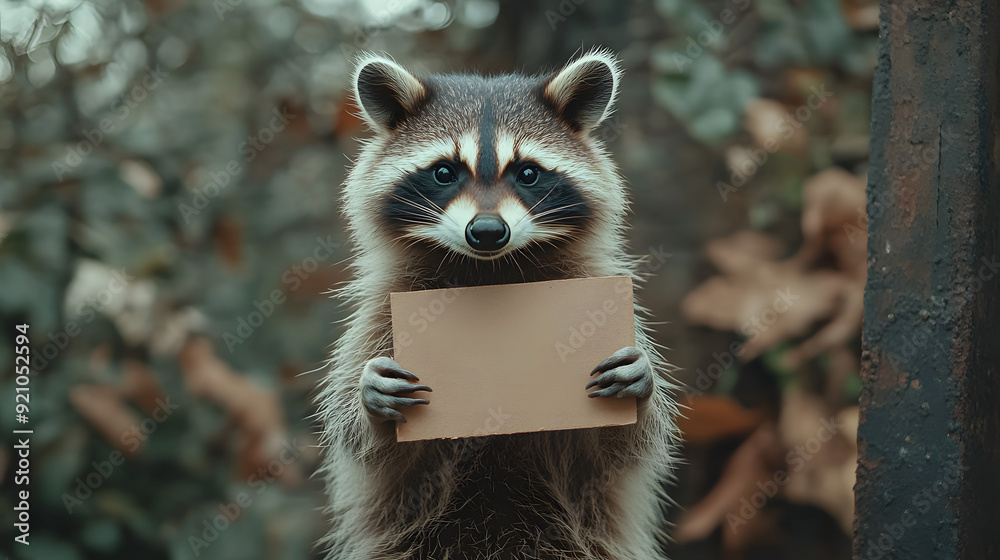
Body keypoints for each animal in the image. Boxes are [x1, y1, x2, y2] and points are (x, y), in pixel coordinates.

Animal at [318, 50, 680, 560]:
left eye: (527, 172)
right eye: (444, 172)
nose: (487, 232)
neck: (488, 271)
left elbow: (619, 450)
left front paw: (639, 384)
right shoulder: (378, 310)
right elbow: (363, 443)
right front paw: (370, 400)